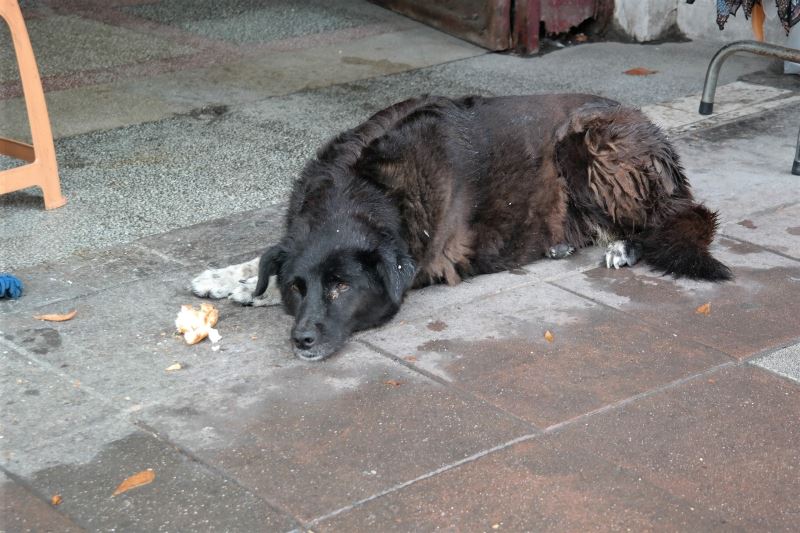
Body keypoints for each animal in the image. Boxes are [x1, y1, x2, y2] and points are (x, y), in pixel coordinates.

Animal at [192, 94, 732, 362]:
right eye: (298, 288)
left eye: (342, 287)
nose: (301, 340)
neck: (366, 186)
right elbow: (266, 255)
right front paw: (231, 276)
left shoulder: (429, 264)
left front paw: (249, 289)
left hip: (590, 144)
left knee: (655, 223)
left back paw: (622, 245)